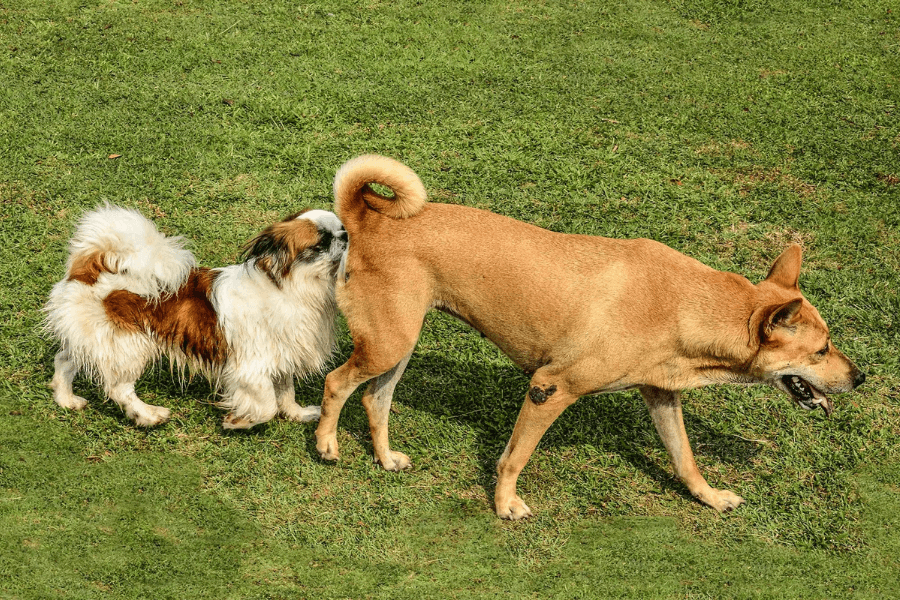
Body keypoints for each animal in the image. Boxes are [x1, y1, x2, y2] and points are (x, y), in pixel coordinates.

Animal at [44, 204, 348, 428]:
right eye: (322, 242)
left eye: (341, 228)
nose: (346, 235)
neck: (291, 287)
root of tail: (90, 267)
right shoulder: (251, 368)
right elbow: (267, 407)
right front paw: (238, 422)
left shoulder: (283, 358)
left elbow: (286, 393)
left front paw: (297, 414)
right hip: (128, 345)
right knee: (118, 388)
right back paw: (148, 415)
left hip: (98, 337)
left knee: (65, 360)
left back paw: (66, 400)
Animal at [314, 157, 864, 516]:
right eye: (821, 350)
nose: (859, 377)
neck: (684, 303)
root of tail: (368, 218)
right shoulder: (549, 388)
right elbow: (514, 457)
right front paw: (505, 505)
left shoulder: (661, 395)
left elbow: (685, 459)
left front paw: (710, 498)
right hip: (388, 343)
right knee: (336, 383)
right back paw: (326, 446)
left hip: (399, 344)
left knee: (375, 399)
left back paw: (386, 459)